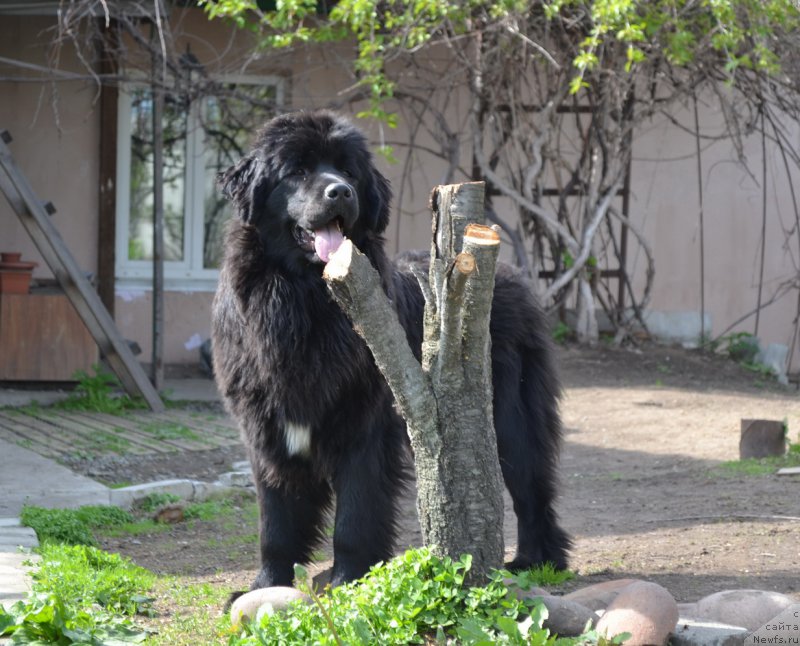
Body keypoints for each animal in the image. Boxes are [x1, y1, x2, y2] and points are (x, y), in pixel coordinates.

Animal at [209, 110, 564, 592]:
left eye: (348, 171)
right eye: (297, 171)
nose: (340, 191)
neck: (303, 300)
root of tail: (510, 275)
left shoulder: (367, 427)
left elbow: (355, 515)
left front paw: (346, 579)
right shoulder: (266, 429)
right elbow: (276, 519)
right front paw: (266, 586)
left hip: (513, 414)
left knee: (530, 487)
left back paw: (536, 559)